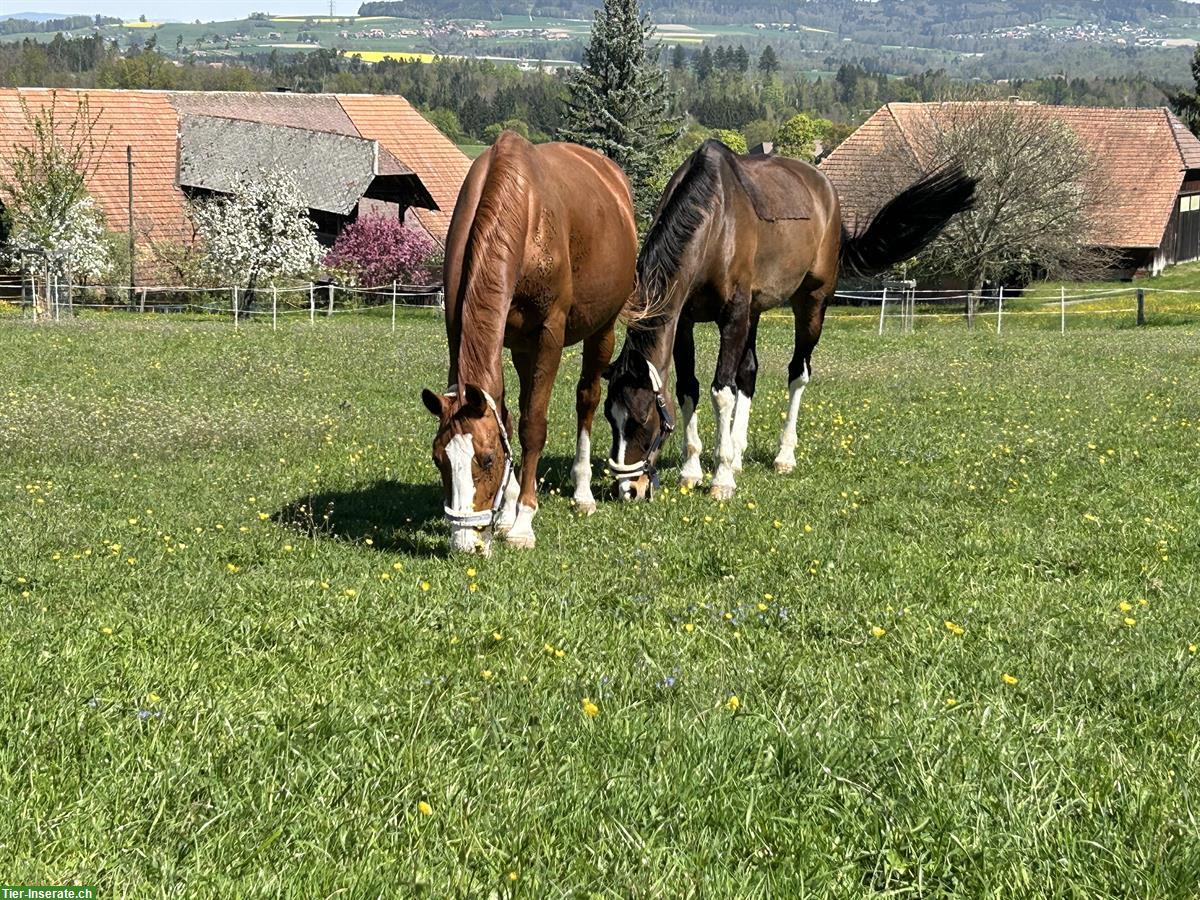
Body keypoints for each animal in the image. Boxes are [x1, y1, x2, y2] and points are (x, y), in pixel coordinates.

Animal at [422, 130, 638, 554]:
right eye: (440, 459)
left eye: (487, 459)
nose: (465, 543)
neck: (522, 210)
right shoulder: (475, 332)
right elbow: (507, 418)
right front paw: (505, 513)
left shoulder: (548, 336)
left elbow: (532, 426)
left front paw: (522, 522)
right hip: (522, 348)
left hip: (601, 329)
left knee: (587, 399)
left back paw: (583, 493)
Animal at [604, 141, 969, 501]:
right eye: (609, 417)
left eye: (641, 419)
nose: (629, 490)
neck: (716, 223)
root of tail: (826, 190)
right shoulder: (685, 322)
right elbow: (688, 388)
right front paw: (692, 470)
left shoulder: (734, 316)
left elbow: (722, 392)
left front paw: (722, 478)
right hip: (755, 311)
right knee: (748, 372)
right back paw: (738, 452)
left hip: (811, 302)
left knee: (798, 372)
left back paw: (783, 456)